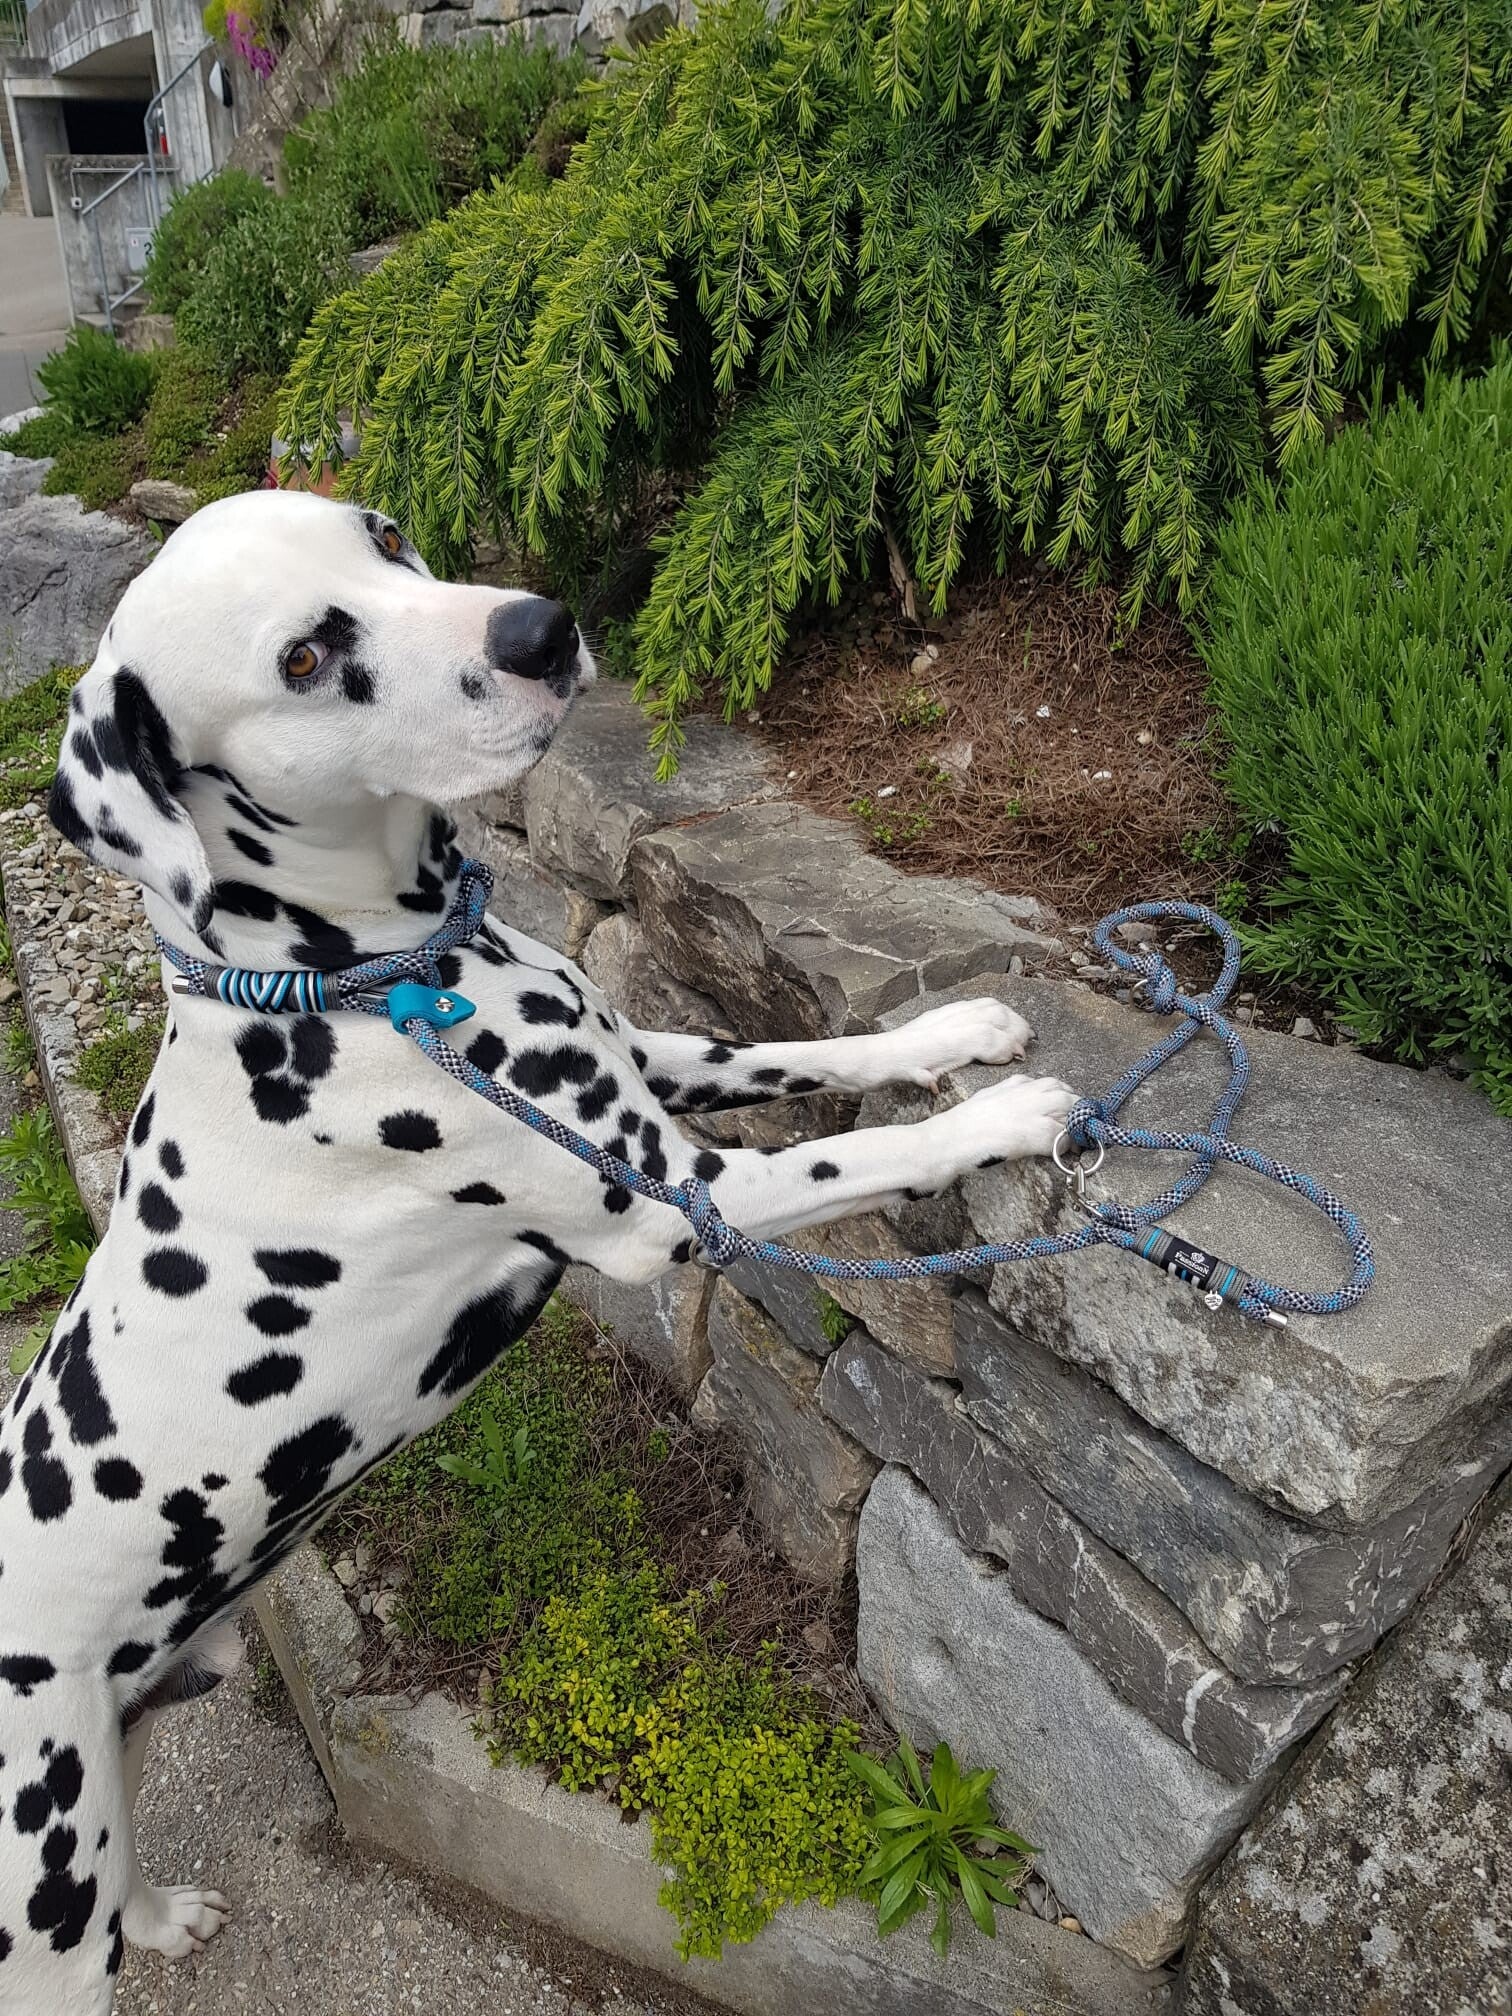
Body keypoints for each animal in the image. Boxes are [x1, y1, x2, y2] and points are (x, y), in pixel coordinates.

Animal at [0, 489, 1074, 2013]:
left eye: (386, 536)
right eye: (308, 658)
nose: (541, 627)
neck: (353, 982)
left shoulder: (653, 1063)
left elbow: (805, 1053)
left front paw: (952, 1031)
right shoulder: (676, 1201)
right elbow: (855, 1154)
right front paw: (1006, 1117)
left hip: (126, 1754)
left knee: (126, 1868)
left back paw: (162, 1921)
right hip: (43, 1879)